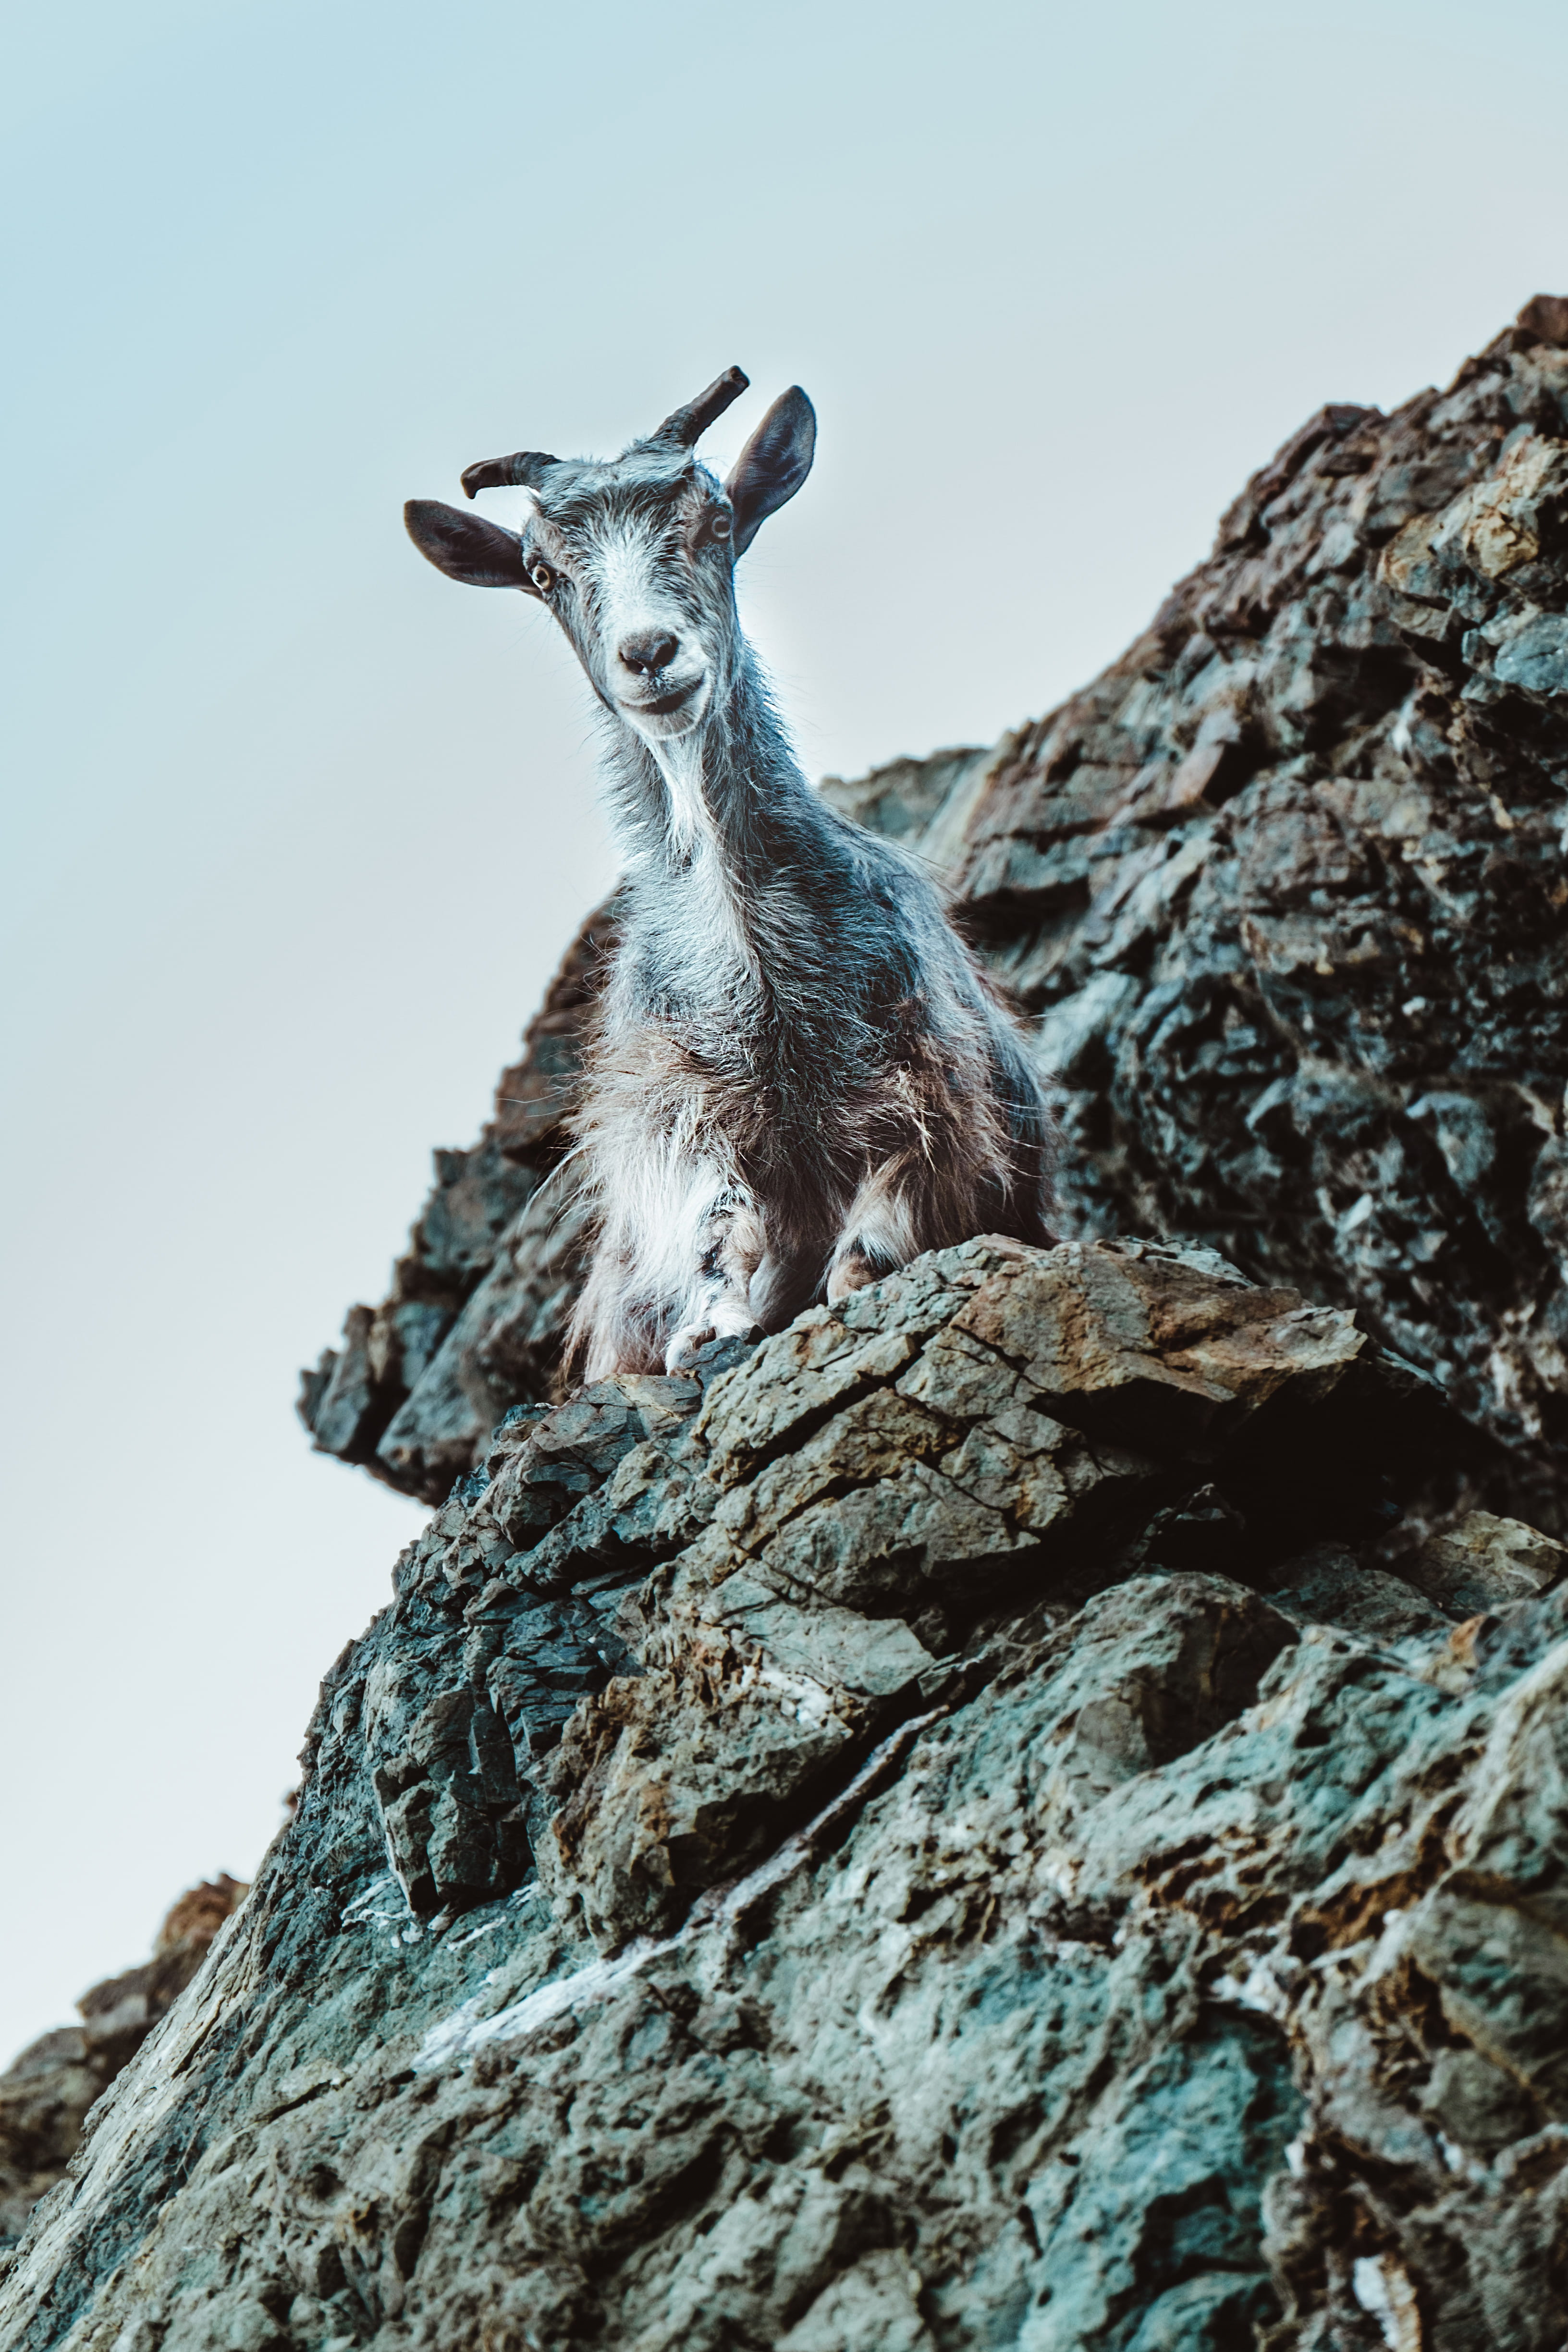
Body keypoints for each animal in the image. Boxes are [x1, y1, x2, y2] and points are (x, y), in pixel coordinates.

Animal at [405, 367, 1052, 1378]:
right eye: (543, 573)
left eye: (713, 519)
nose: (648, 654)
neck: (752, 957)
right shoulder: (671, 1102)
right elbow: (713, 1214)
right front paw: (710, 1321)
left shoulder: (938, 1082)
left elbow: (899, 1191)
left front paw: (854, 1272)